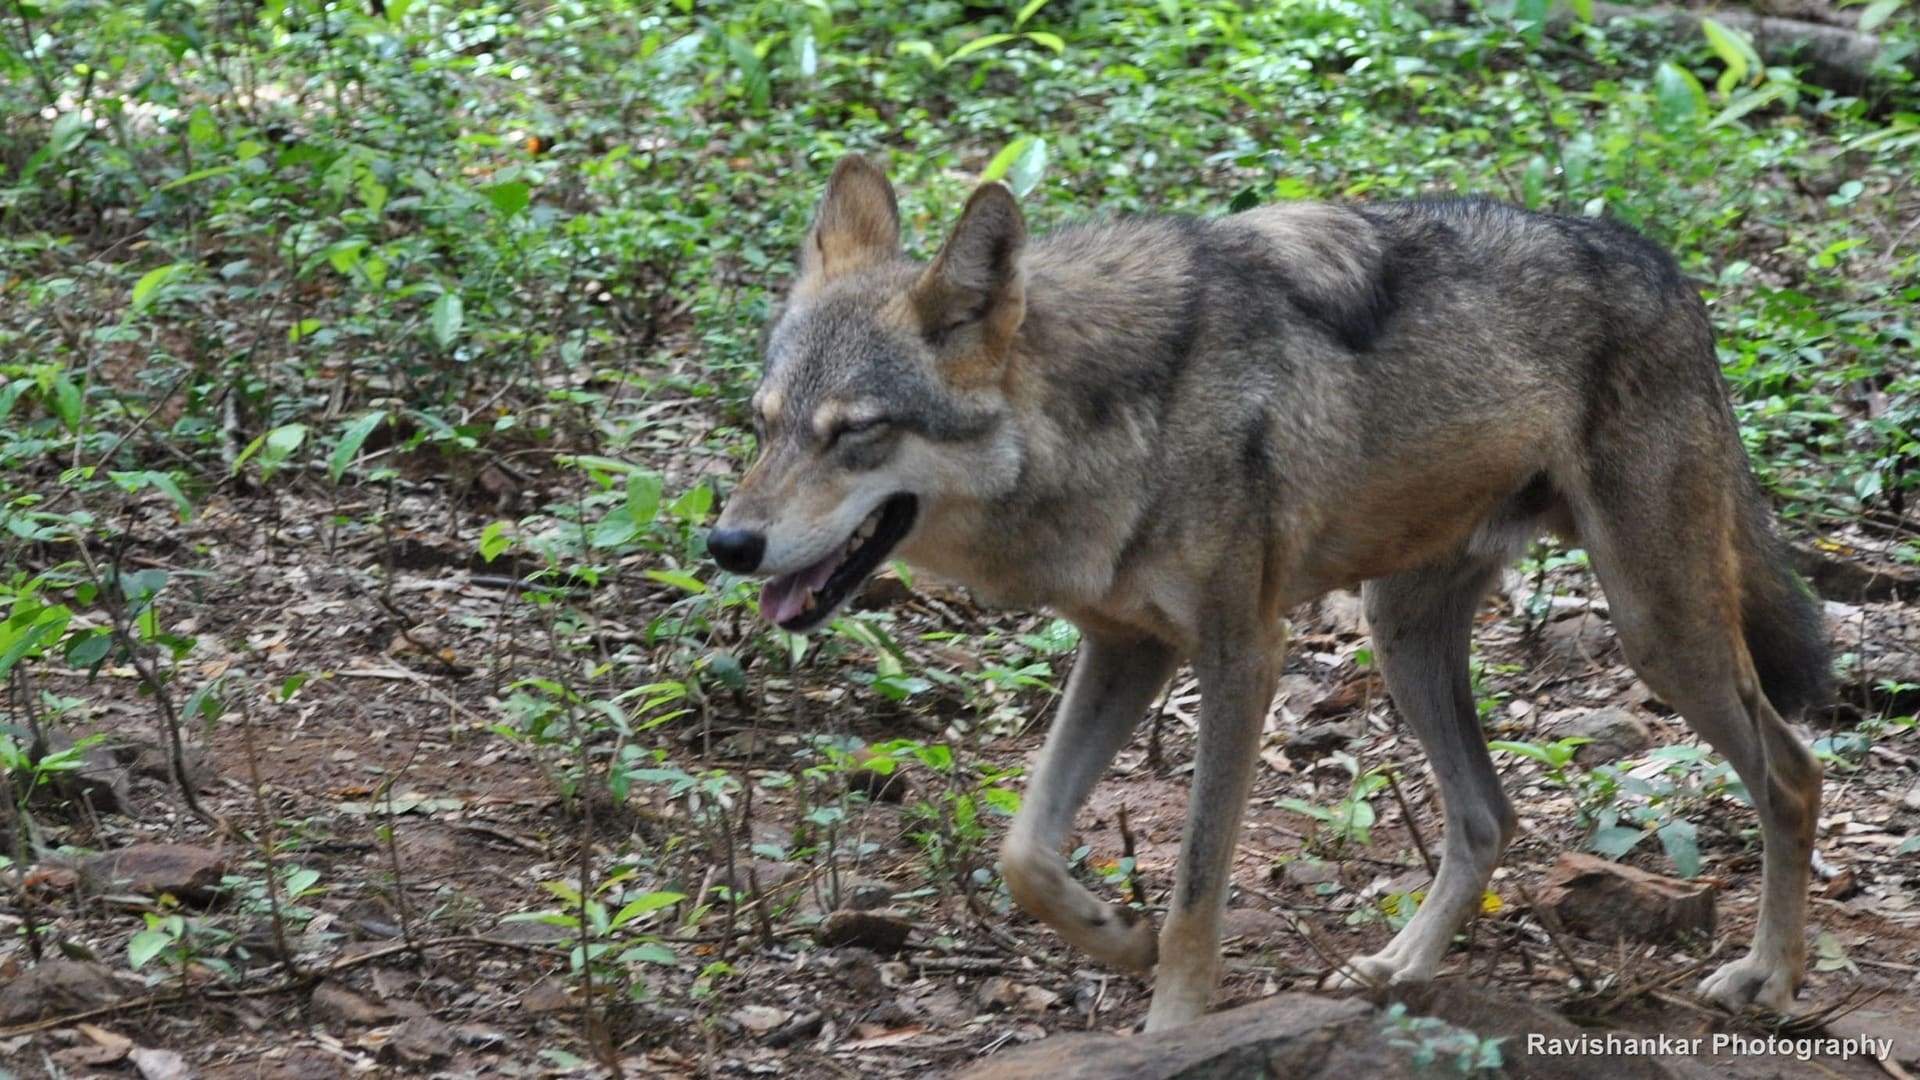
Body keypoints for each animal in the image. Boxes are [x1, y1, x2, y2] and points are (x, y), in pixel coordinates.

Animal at [706, 155, 1828, 1031]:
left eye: (855, 433)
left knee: (1792, 772)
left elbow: (1199, 883)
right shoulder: (1127, 647)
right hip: (1400, 634)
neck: (1117, 416)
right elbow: (1026, 849)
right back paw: (1403, 966)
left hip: (1656, 630)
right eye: (763, 423)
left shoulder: (1242, 654)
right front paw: (1117, 936)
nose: (727, 543)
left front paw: (1170, 1023)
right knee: (1488, 815)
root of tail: (1661, 264)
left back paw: (1770, 978)